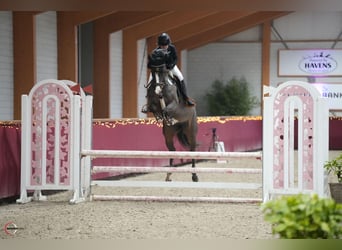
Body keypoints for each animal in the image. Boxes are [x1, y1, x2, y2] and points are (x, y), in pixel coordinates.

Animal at [144, 48, 198, 182]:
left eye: (162, 70)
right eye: (152, 72)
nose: (158, 91)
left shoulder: (173, 104)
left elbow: (167, 110)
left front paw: (166, 117)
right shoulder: (152, 103)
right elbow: (154, 108)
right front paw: (160, 117)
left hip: (190, 131)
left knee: (192, 149)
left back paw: (194, 176)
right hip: (168, 134)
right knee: (172, 150)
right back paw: (168, 174)